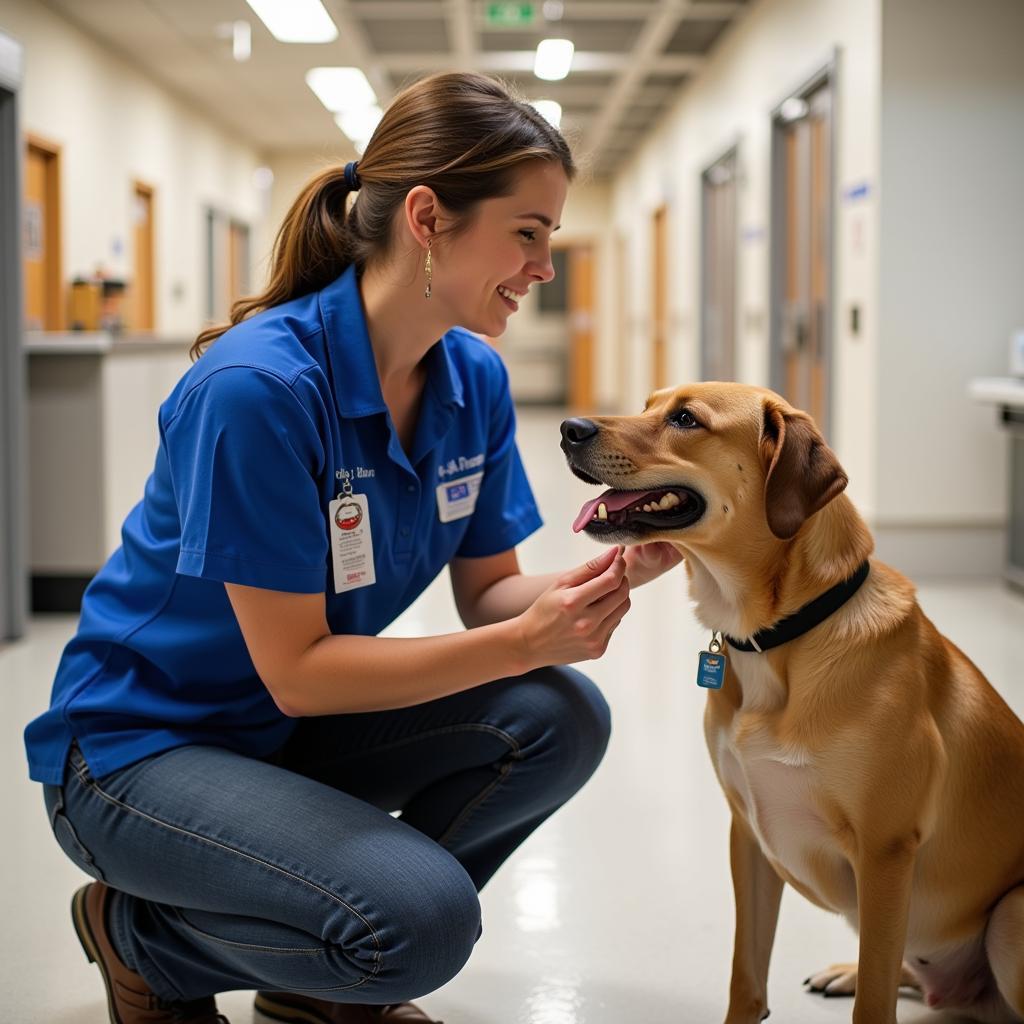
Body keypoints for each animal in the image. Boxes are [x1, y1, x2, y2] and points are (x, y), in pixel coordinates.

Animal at [561, 385, 1024, 1024]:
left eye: (685, 419)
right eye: (649, 404)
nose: (568, 429)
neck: (779, 636)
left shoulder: (886, 852)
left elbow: (875, 1002)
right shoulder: (748, 836)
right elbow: (746, 977)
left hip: (1010, 918)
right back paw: (846, 971)